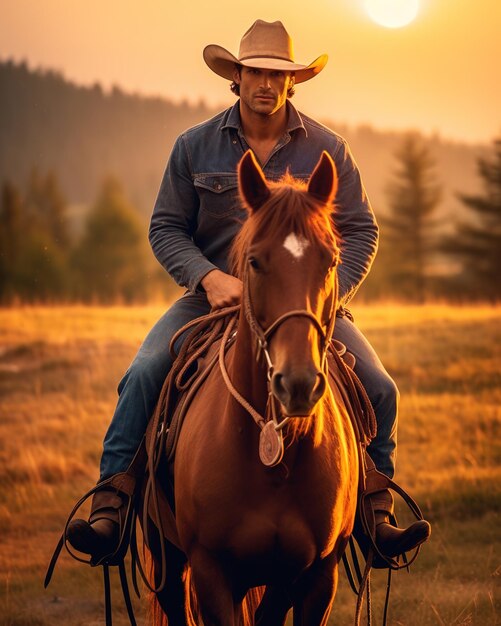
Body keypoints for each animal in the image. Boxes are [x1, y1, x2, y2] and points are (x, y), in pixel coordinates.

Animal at [146, 149, 360, 620]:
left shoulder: (316, 576)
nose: (297, 383)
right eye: (256, 262)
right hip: (167, 559)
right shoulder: (210, 572)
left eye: (332, 261)